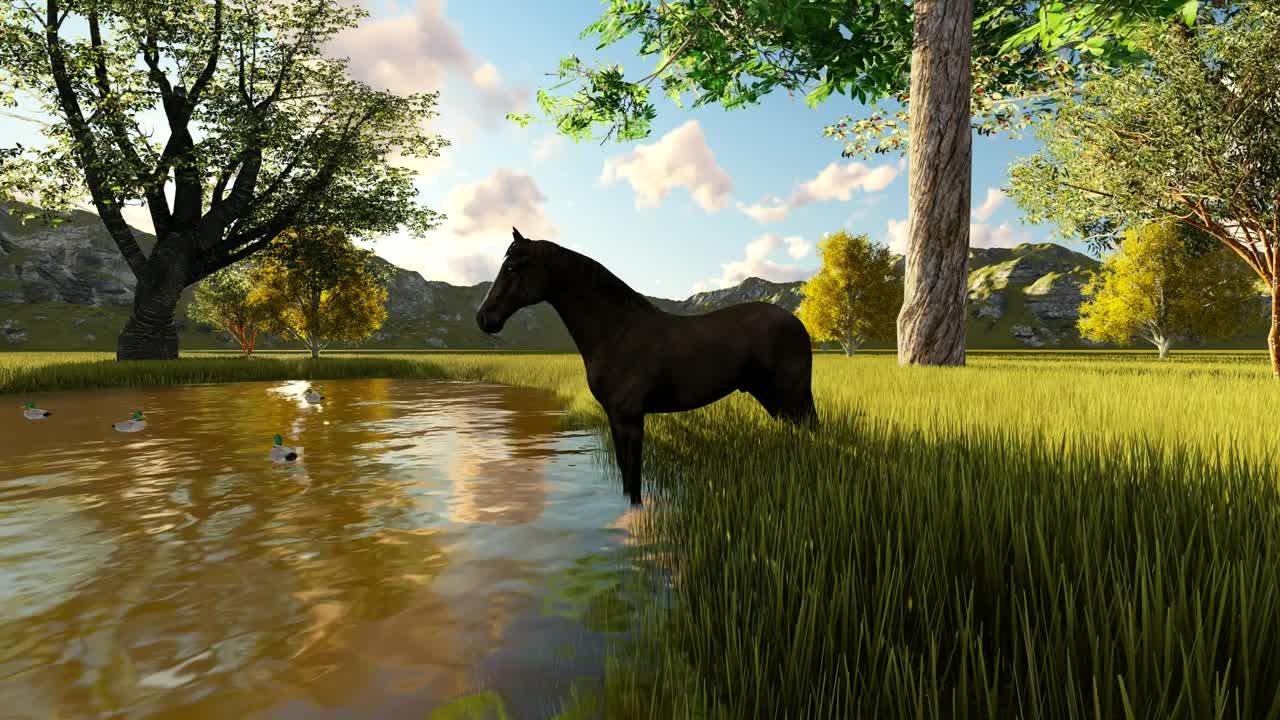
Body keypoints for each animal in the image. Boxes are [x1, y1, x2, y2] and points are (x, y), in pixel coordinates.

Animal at [476, 227, 818, 506]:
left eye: (511, 267)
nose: (484, 318)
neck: (616, 331)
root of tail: (797, 323)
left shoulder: (631, 417)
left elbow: (634, 478)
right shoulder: (615, 418)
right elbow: (626, 476)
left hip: (792, 396)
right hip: (774, 399)